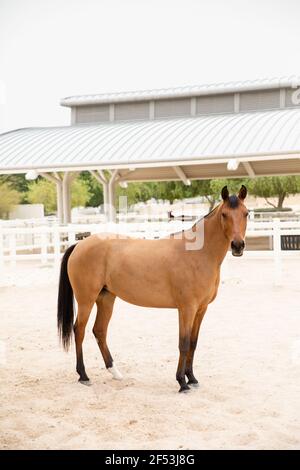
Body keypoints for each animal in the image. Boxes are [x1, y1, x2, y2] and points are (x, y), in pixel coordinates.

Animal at [56, 185, 248, 392]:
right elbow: (183, 343)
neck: (198, 254)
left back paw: (115, 372)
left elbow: (193, 343)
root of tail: (79, 244)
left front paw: (192, 378)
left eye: (246, 213)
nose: (238, 245)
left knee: (99, 331)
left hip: (106, 298)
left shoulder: (201, 309)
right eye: (224, 214)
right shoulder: (186, 309)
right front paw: (182, 382)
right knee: (79, 330)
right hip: (86, 300)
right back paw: (83, 375)